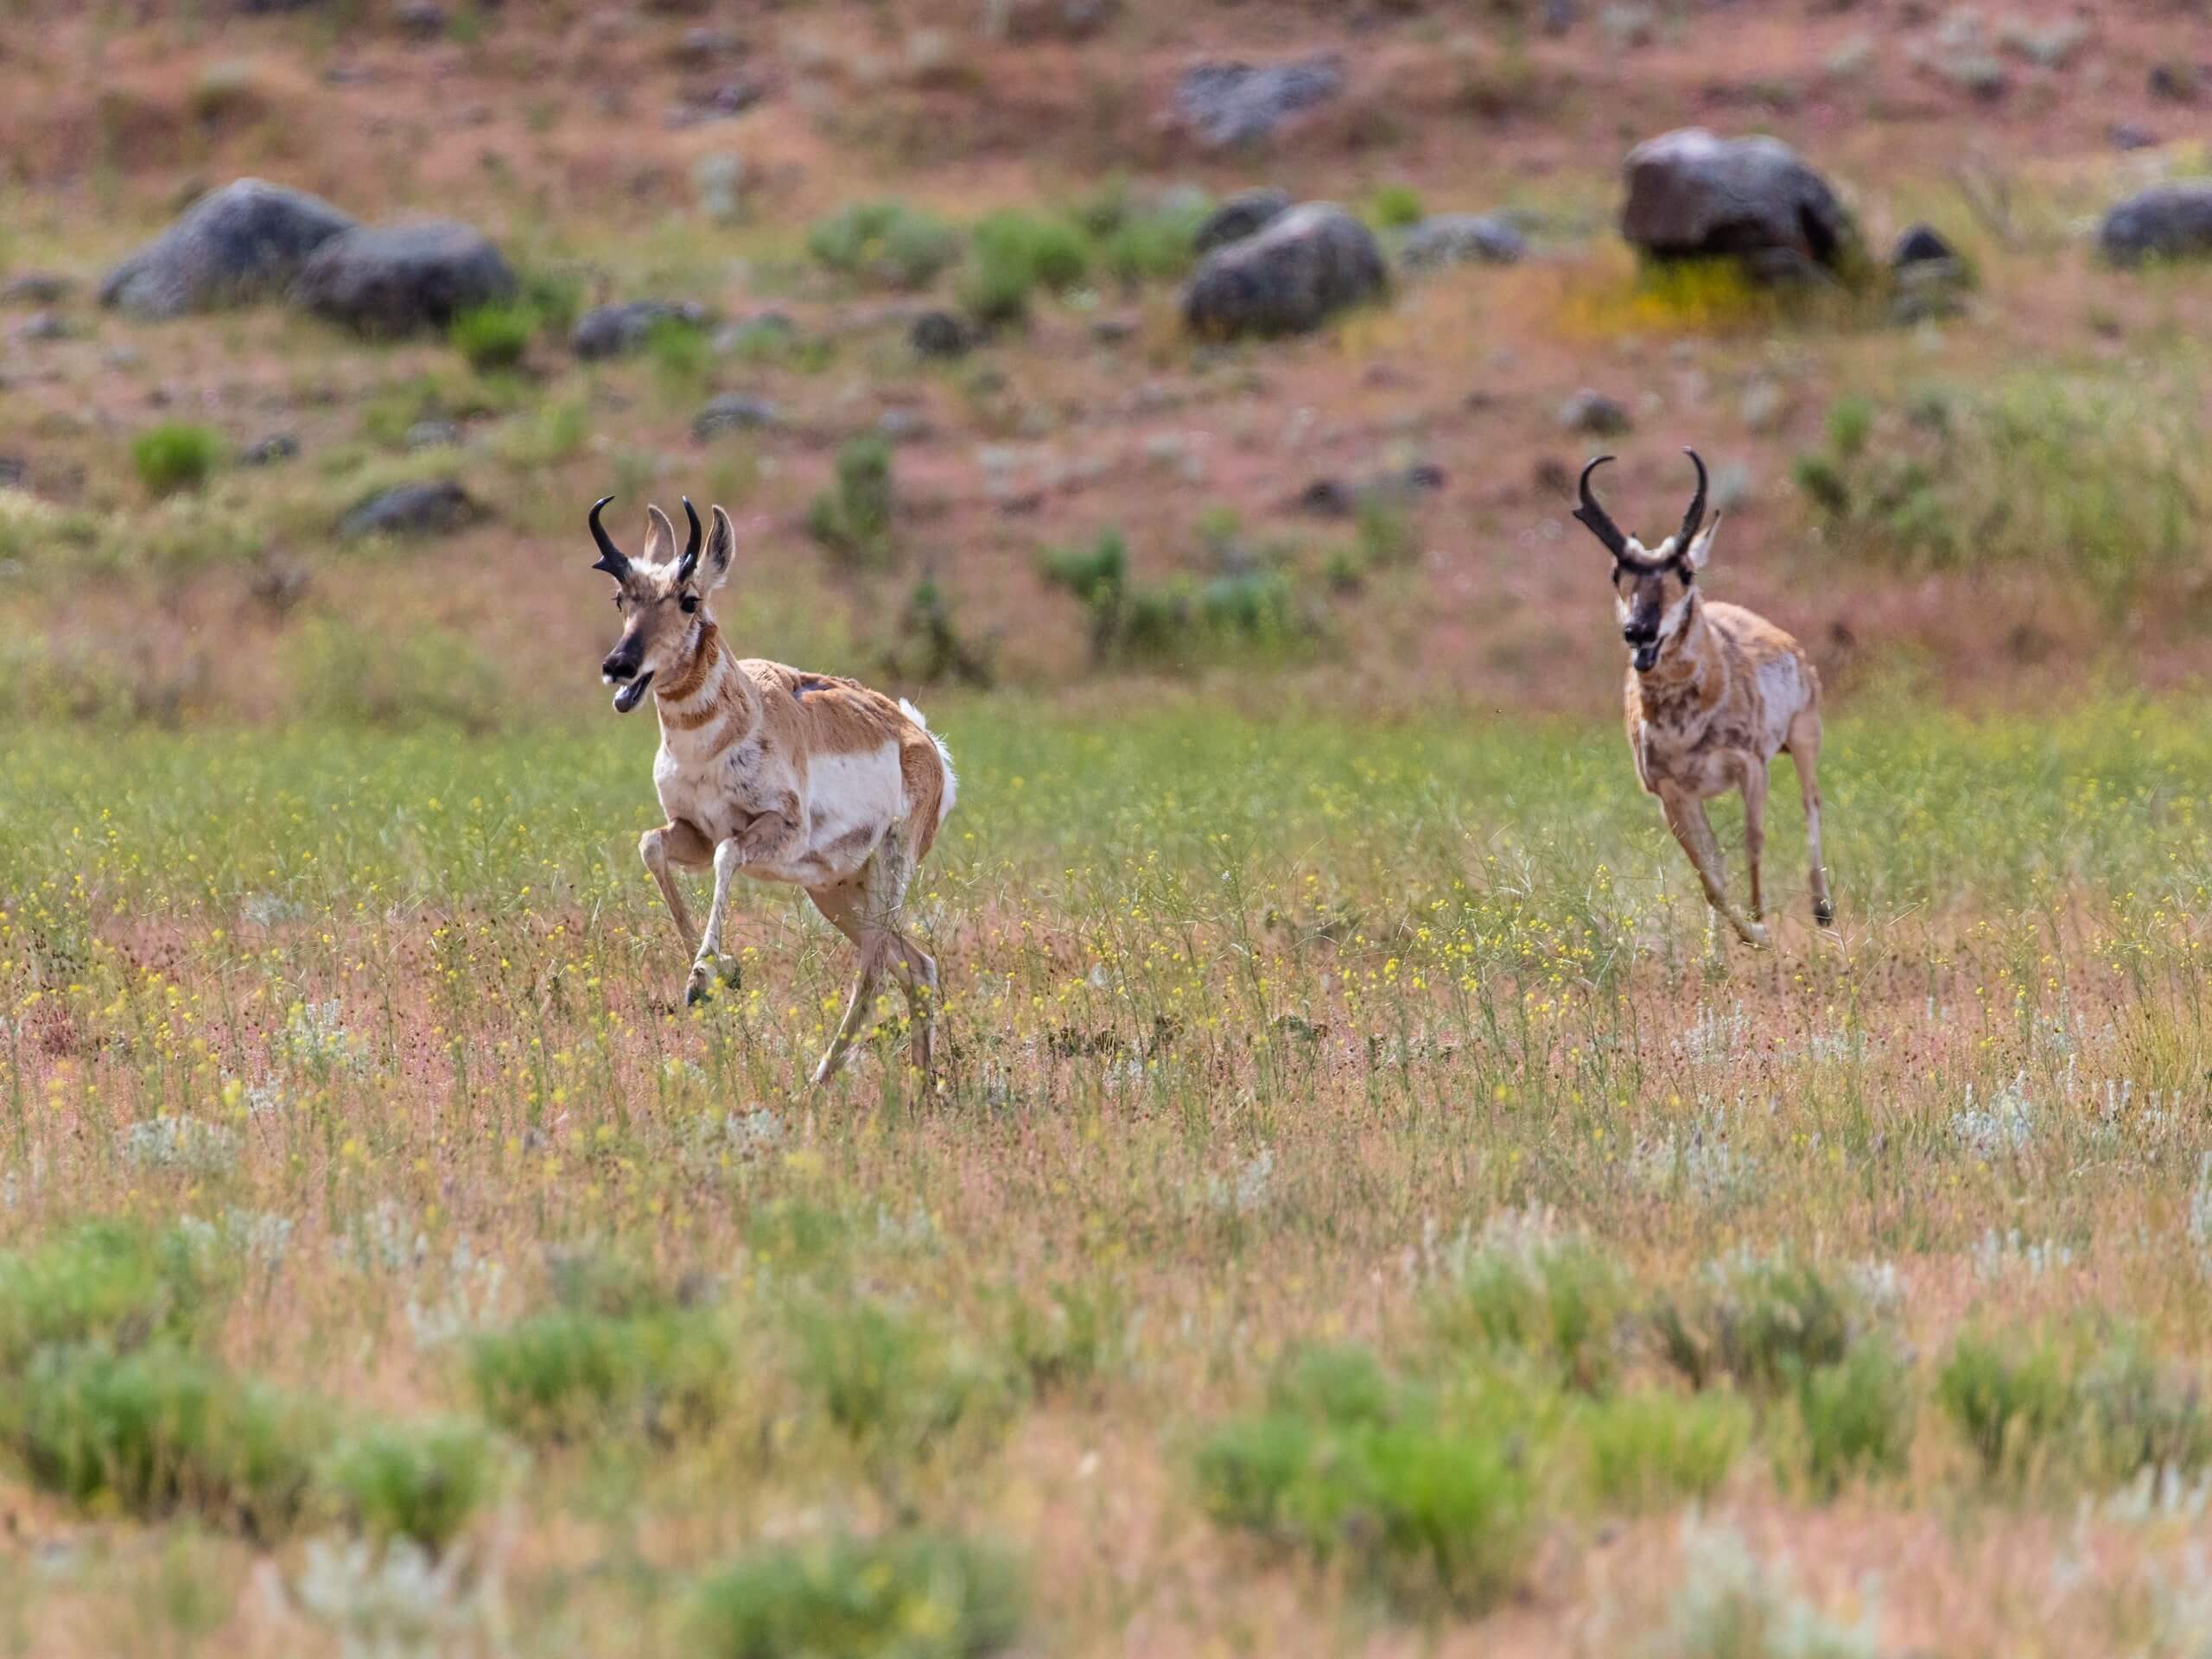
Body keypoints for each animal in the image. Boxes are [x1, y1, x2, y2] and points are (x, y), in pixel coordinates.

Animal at [593, 499, 955, 1084]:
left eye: (689, 600)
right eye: (621, 599)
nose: (618, 666)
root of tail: (920, 738)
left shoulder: (774, 831)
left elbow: (727, 853)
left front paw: (705, 975)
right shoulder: (690, 832)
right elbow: (651, 846)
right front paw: (711, 975)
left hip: (885, 875)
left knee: (874, 972)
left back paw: (819, 1081)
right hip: (833, 890)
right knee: (917, 967)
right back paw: (918, 1090)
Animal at [1574, 451, 1831, 946]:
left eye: (1685, 572)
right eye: (1617, 572)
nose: (1639, 631)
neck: (1685, 726)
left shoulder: (1751, 767)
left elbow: (1753, 840)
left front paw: (1760, 925)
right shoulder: (1671, 793)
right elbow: (1709, 873)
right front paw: (1744, 936)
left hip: (1804, 738)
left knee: (1812, 805)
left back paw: (1823, 909)